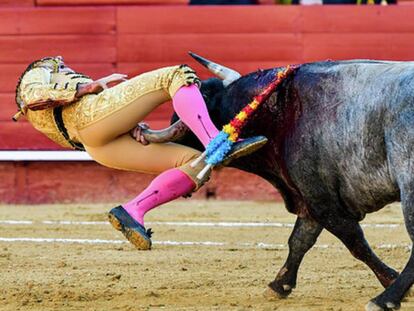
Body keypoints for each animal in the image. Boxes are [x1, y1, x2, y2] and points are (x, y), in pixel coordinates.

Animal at [174, 59, 414, 310]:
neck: (279, 110)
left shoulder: (319, 197)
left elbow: (353, 240)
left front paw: (391, 280)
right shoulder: (309, 197)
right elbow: (300, 240)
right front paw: (279, 285)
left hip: (409, 189)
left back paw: (385, 299)